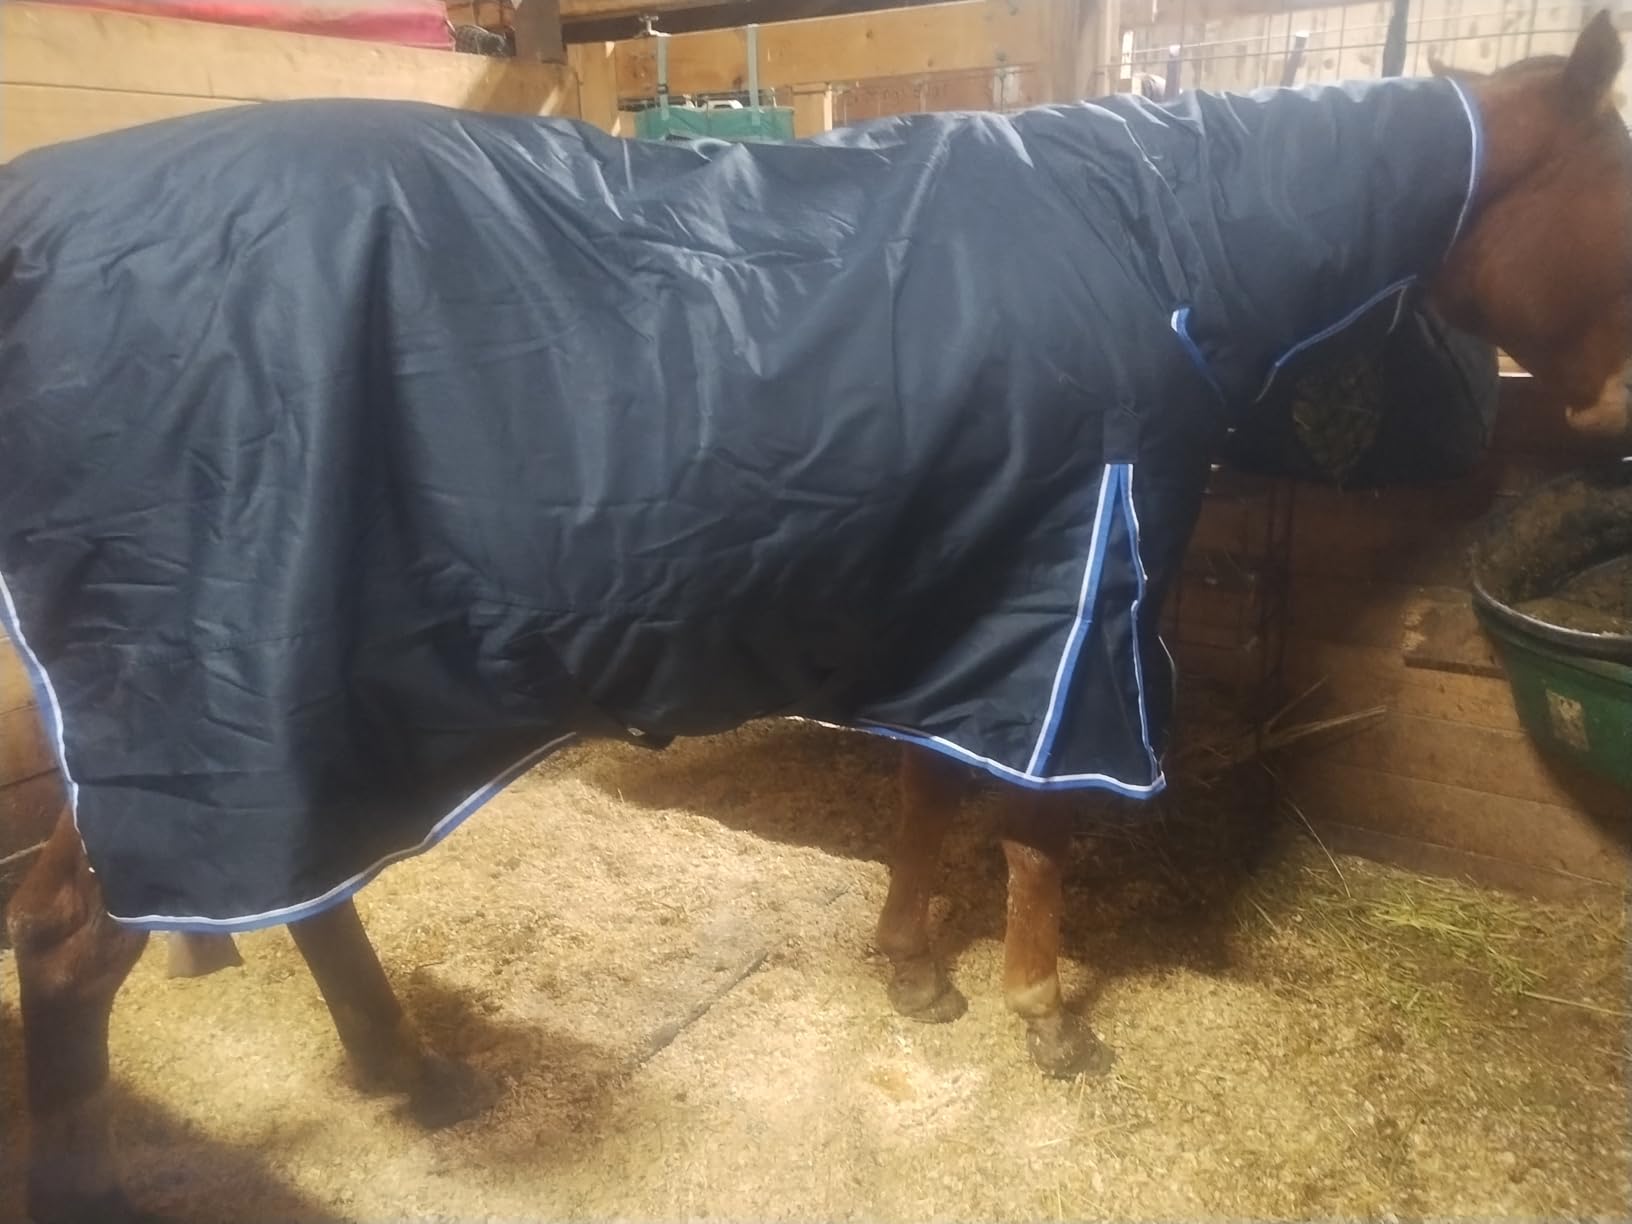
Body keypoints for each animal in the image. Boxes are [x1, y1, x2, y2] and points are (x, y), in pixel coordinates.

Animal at [4, 13, 1629, 1224]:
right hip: (196, 681)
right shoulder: (1072, 600)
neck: (1154, 245)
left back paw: (415, 1071)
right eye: (1618, 186)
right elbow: (1036, 822)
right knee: (80, 941)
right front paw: (1046, 1009)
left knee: (281, 895)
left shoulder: (960, 594)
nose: (1610, 410)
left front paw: (915, 969)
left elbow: (931, 794)